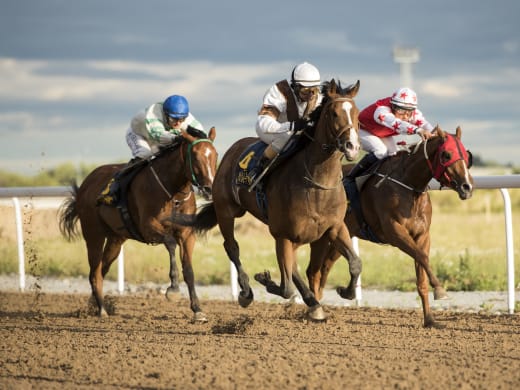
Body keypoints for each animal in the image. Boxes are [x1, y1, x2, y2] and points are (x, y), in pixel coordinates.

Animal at [59, 126, 217, 322]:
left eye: (215, 155)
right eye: (195, 156)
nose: (210, 188)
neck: (173, 193)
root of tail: (85, 184)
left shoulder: (187, 234)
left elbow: (189, 270)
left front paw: (197, 310)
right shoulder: (148, 227)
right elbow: (170, 243)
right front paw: (173, 289)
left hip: (115, 239)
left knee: (102, 269)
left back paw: (94, 305)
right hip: (93, 234)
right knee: (94, 273)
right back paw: (102, 310)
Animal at [170, 78, 362, 320]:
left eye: (356, 113)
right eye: (334, 113)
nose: (352, 146)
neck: (316, 183)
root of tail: (231, 151)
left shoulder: (334, 228)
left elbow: (355, 263)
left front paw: (345, 292)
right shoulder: (282, 234)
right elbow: (286, 286)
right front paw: (265, 280)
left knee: (294, 268)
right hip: (227, 211)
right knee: (232, 247)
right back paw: (245, 293)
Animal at [306, 126, 474, 328]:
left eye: (466, 155)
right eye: (446, 154)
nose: (467, 187)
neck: (409, 186)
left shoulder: (422, 235)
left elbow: (421, 275)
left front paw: (430, 320)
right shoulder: (394, 232)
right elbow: (422, 256)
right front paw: (440, 290)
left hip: (341, 236)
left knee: (326, 266)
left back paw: (341, 295)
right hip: (322, 236)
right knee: (313, 271)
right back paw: (315, 311)